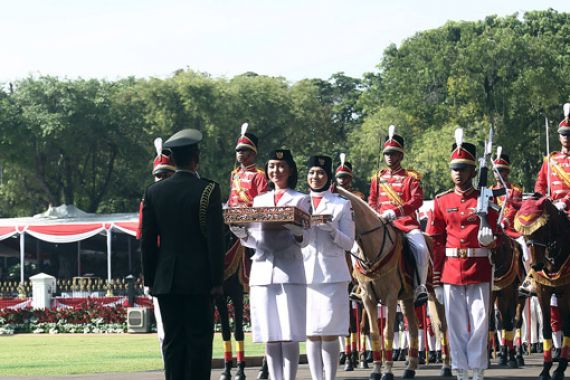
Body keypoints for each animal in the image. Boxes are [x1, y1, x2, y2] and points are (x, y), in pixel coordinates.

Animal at [336, 187, 450, 380]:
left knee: (441, 326)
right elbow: (374, 332)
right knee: (413, 328)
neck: (373, 249)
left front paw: (387, 371)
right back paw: (410, 368)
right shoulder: (368, 299)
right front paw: (376, 370)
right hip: (406, 299)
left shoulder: (390, 297)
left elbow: (387, 331)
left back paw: (446, 367)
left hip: (434, 294)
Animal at [512, 196, 564, 380]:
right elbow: (547, 328)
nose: (536, 265)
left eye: (543, 227)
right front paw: (546, 369)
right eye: (525, 233)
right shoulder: (543, 292)